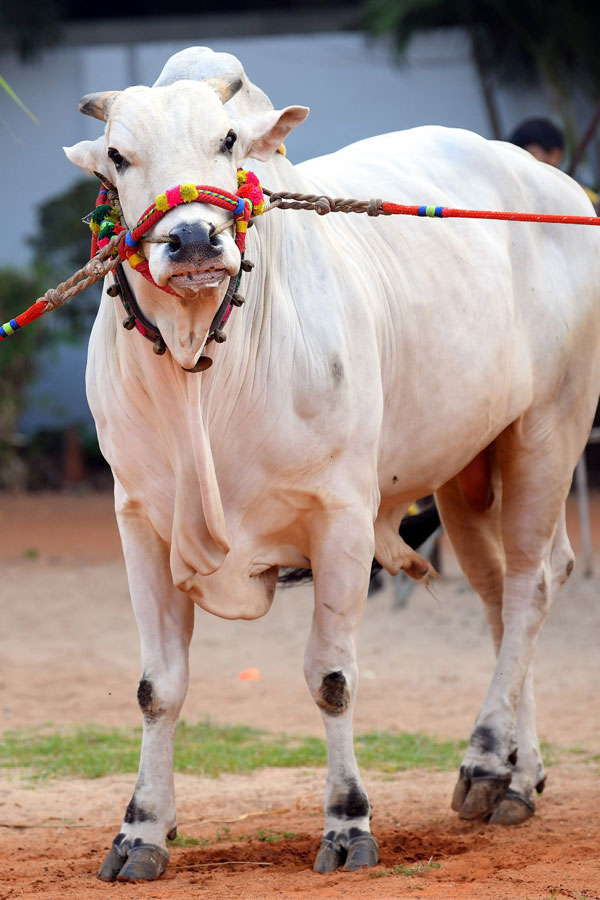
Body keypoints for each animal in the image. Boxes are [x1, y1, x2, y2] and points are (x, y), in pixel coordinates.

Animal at [64, 47, 600, 880]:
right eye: (118, 155)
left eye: (228, 140)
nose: (192, 241)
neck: (199, 362)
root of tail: (558, 186)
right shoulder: (142, 524)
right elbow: (159, 687)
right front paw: (141, 830)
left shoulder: (342, 519)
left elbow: (333, 678)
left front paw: (348, 823)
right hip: (468, 470)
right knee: (500, 598)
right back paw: (520, 767)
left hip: (550, 428)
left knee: (531, 587)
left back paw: (491, 765)